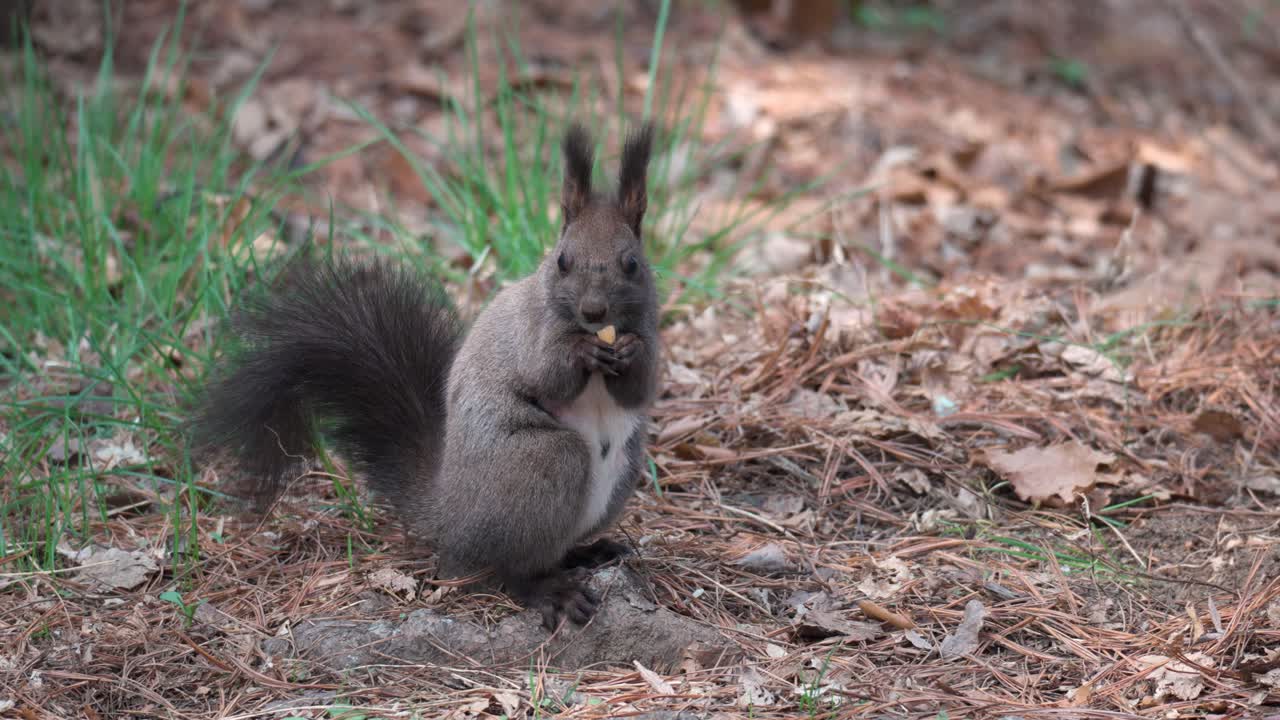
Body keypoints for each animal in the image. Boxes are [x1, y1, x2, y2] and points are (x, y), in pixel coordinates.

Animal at [191, 122, 660, 630]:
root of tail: (449, 514)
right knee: (510, 568)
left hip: (621, 470)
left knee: (553, 548)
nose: (594, 312)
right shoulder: (531, 330)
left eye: (632, 263)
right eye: (561, 260)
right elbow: (544, 374)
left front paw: (629, 352)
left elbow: (639, 389)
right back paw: (549, 590)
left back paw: (589, 552)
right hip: (540, 464)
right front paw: (580, 351)